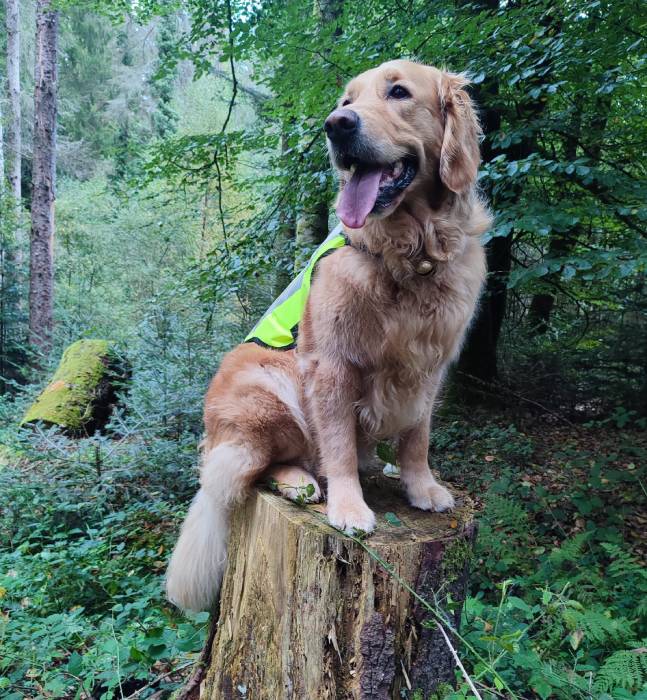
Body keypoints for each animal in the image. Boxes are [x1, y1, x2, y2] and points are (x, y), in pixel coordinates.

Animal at [166, 60, 492, 612]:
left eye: (398, 92)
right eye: (346, 101)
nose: (336, 125)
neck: (411, 252)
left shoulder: (431, 366)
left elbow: (417, 436)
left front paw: (421, 485)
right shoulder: (333, 364)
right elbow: (337, 444)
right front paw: (349, 507)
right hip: (269, 391)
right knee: (254, 467)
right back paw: (299, 481)